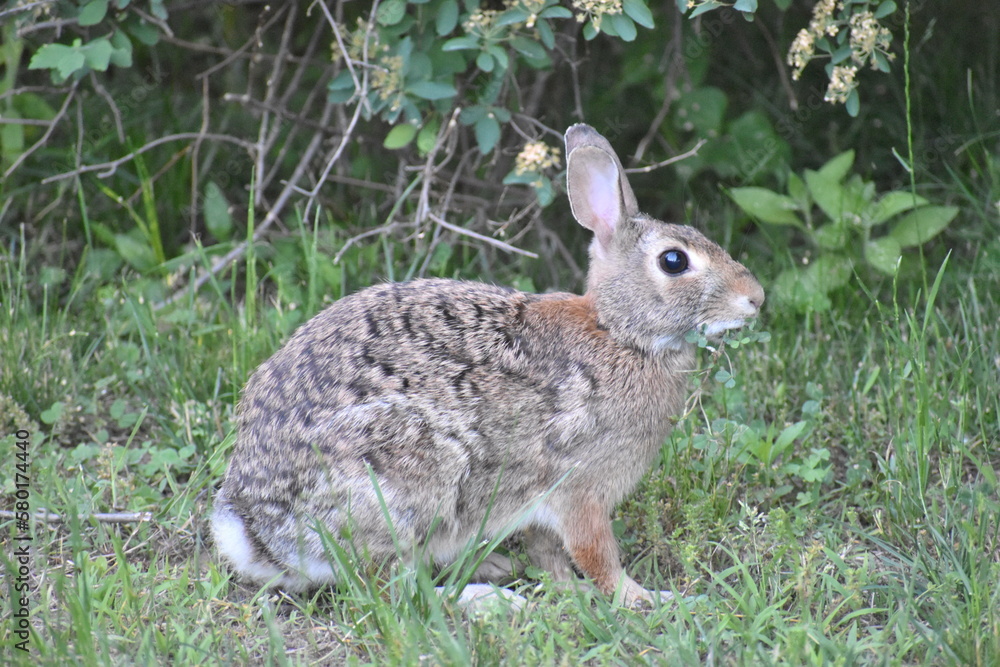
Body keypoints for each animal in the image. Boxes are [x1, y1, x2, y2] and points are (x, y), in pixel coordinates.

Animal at [210, 123, 765, 608]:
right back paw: (488, 601)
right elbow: (596, 555)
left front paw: (567, 590)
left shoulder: (540, 507)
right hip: (410, 477)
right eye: (674, 261)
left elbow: (551, 555)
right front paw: (645, 600)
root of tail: (258, 533)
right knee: (388, 588)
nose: (756, 298)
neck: (619, 333)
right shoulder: (580, 490)